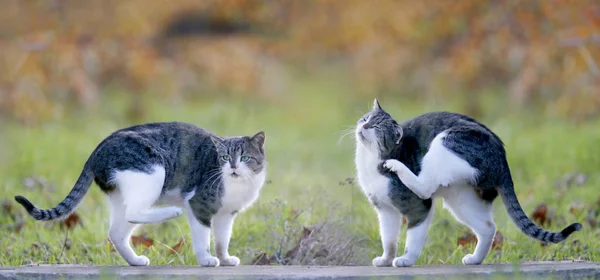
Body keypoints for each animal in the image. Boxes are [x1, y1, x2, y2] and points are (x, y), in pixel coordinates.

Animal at [15, 122, 268, 266]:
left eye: (245, 157)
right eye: (224, 158)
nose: (233, 167)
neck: (237, 185)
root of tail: (96, 150)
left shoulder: (226, 214)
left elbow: (222, 240)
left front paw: (225, 259)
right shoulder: (198, 205)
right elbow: (204, 239)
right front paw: (206, 260)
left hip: (121, 193)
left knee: (117, 230)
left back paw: (135, 261)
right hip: (153, 172)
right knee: (135, 213)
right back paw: (171, 212)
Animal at [356, 99, 580, 266]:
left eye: (376, 127)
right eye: (365, 118)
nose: (364, 125)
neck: (370, 161)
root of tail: (503, 161)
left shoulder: (418, 207)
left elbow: (413, 237)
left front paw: (406, 259)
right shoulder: (385, 209)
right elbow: (388, 239)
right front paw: (385, 260)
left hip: (447, 141)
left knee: (425, 188)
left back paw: (396, 166)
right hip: (461, 199)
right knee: (488, 227)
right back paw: (476, 259)